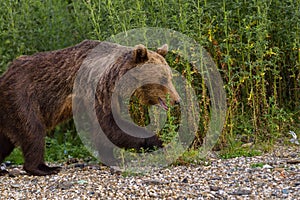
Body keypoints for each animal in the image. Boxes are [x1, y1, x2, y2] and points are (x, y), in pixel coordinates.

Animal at [0, 39, 180, 176]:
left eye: (170, 77)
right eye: (163, 78)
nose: (177, 100)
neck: (118, 82)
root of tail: (5, 74)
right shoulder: (97, 91)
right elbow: (109, 127)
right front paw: (159, 140)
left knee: (5, 140)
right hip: (22, 95)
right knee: (34, 131)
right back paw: (43, 168)